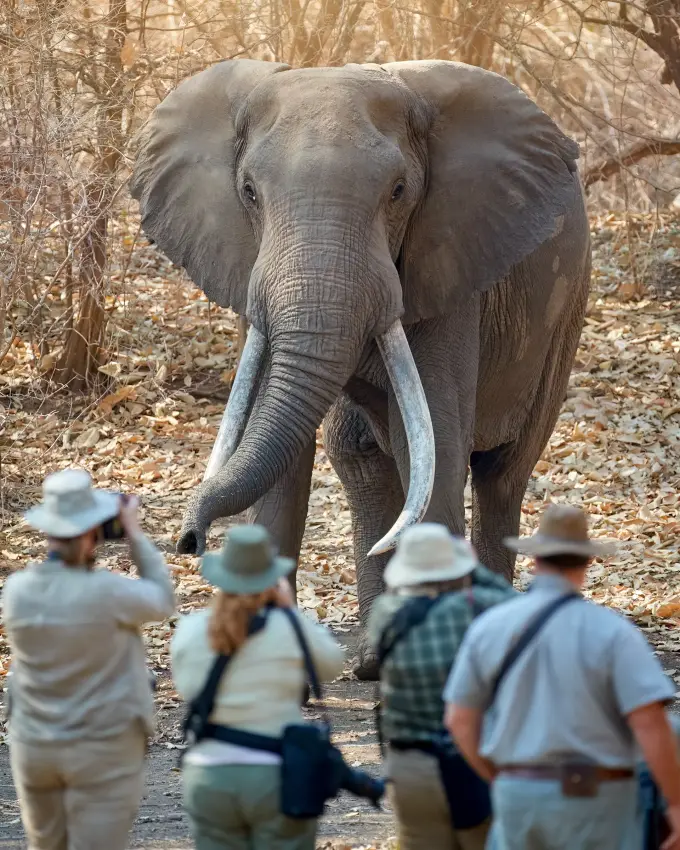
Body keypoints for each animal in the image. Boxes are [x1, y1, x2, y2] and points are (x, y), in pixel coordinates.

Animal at [130, 59, 590, 679]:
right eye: (248, 191)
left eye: (398, 192)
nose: (188, 539)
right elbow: (284, 459)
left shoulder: (448, 265)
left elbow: (436, 445)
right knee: (364, 459)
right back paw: (373, 659)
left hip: (564, 315)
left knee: (500, 473)